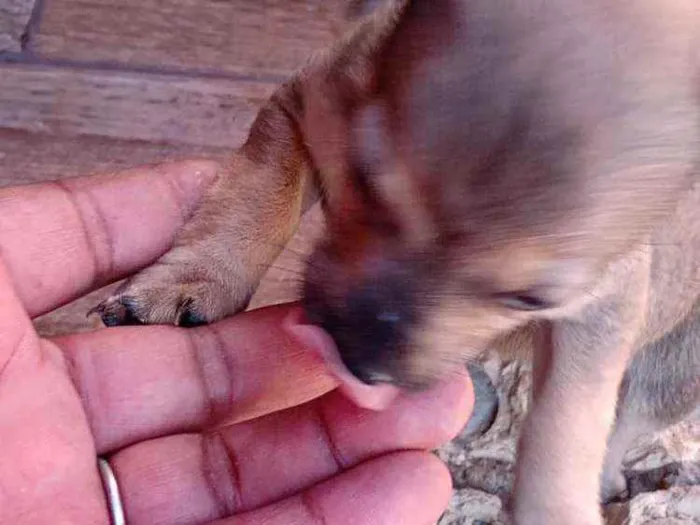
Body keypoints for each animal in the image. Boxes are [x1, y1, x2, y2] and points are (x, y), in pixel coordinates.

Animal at [93, 2, 700, 520]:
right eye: (365, 178)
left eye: (532, 299)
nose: (355, 356)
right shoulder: (308, 98)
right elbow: (259, 196)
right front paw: (195, 277)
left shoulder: (602, 307)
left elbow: (567, 414)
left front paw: (553, 507)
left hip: (675, 367)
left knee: (628, 416)